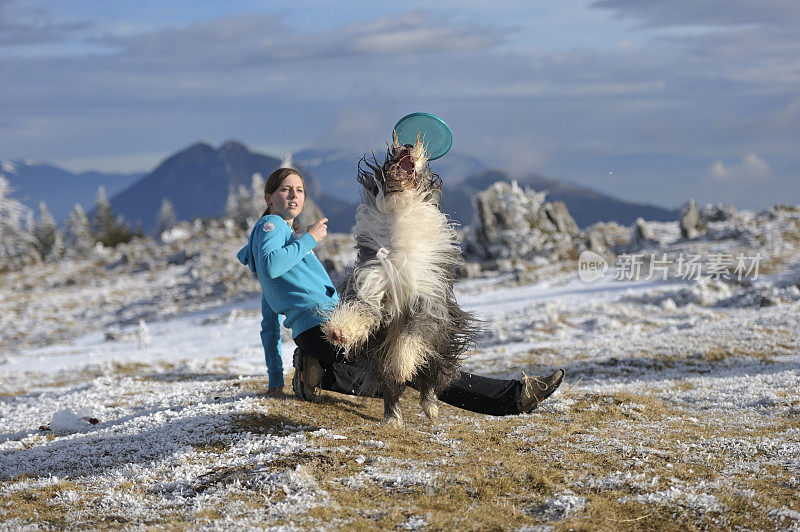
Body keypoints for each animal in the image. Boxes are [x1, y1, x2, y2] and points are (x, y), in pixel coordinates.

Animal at [322, 139, 478, 426]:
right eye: (392, 155)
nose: (406, 145)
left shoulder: (429, 300)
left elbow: (412, 334)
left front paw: (403, 363)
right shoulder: (371, 282)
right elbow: (361, 310)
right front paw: (339, 331)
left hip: (440, 348)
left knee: (430, 379)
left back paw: (430, 407)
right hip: (378, 355)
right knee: (390, 386)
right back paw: (392, 418)